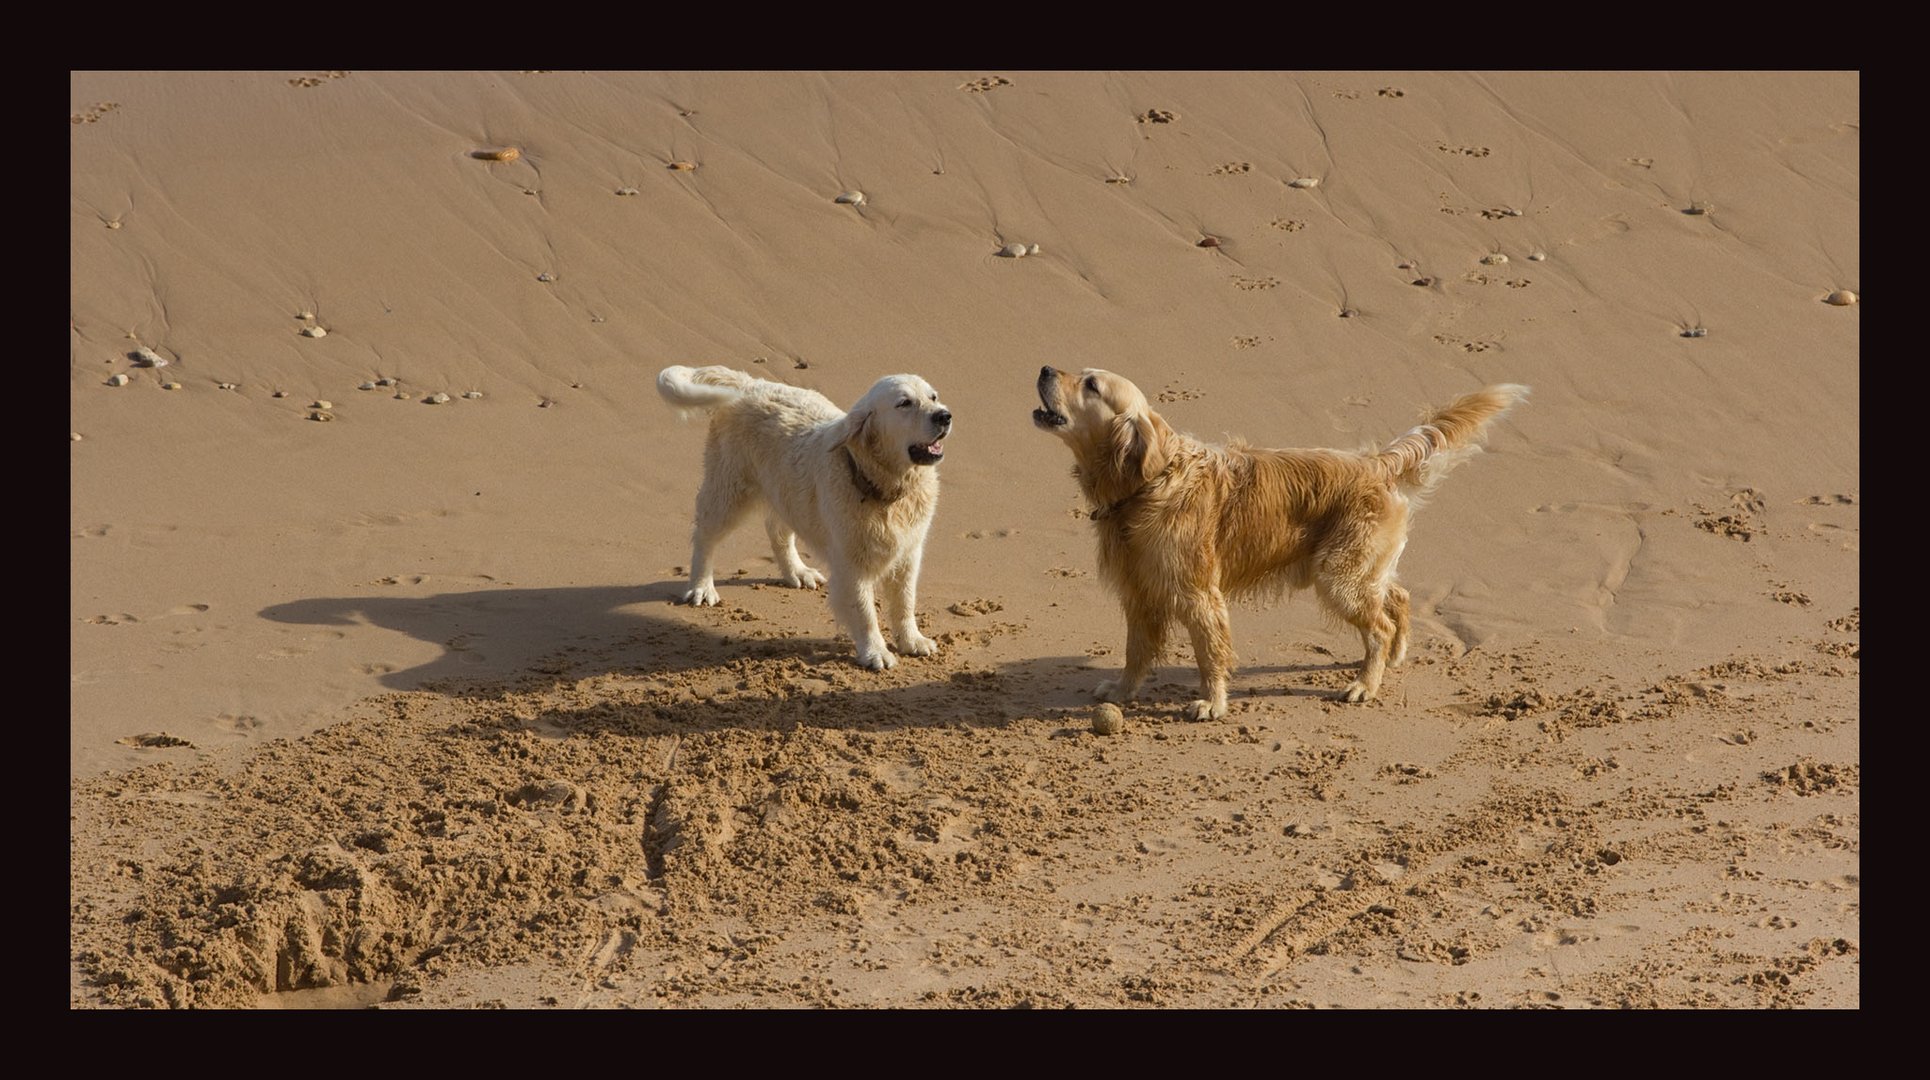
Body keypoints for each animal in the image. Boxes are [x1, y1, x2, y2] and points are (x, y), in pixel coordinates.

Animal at [656, 364, 949, 667]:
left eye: (933, 397)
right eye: (904, 403)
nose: (945, 416)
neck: (885, 489)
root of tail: (748, 384)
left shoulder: (909, 552)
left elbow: (905, 601)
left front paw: (912, 640)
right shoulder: (851, 563)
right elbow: (864, 611)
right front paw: (875, 652)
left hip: (787, 491)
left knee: (778, 530)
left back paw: (797, 571)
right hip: (729, 492)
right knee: (705, 535)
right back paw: (701, 587)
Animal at [1034, 368, 1528, 717]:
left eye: (1091, 384)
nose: (1043, 368)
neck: (1148, 483)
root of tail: (1376, 463)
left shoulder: (1198, 595)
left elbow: (1209, 653)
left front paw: (1211, 703)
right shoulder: (1140, 593)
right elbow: (1135, 652)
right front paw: (1120, 691)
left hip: (1338, 576)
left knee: (1380, 626)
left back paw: (1365, 684)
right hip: (1358, 568)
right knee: (1398, 597)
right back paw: (1396, 657)